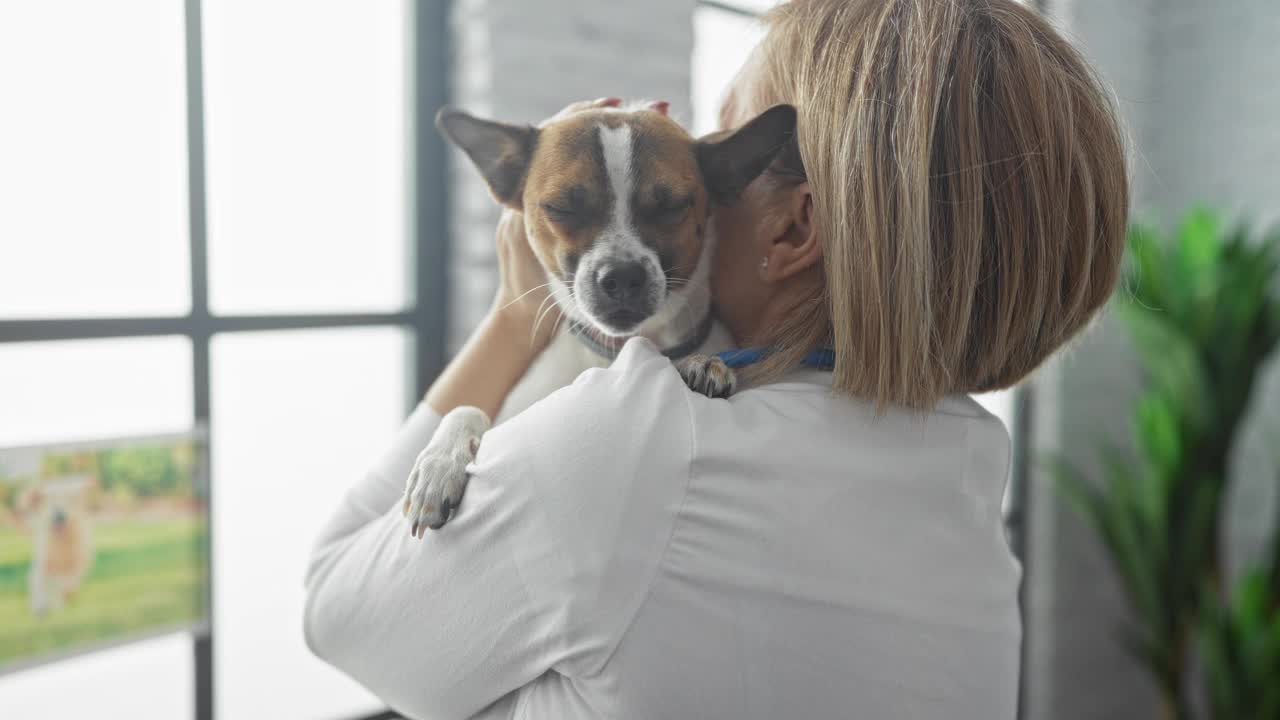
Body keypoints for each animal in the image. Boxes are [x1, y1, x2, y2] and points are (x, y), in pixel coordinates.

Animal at [15, 474, 96, 614]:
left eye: (69, 500)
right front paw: (40, 606)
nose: (59, 514)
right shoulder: (42, 565)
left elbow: (64, 583)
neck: (60, 540)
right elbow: (40, 584)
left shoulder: (76, 565)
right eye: (49, 502)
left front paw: (57, 601)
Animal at [401, 98, 798, 530]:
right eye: (560, 207)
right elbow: (466, 408)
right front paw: (440, 464)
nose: (622, 276)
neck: (617, 351)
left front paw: (700, 365)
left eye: (672, 206)